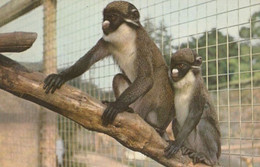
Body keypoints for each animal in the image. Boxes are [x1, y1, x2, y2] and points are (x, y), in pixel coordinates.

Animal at [43, 0, 175, 138]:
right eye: (105, 17)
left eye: (113, 17)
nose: (104, 24)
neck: (126, 37)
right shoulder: (105, 42)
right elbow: (86, 62)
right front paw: (60, 77)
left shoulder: (142, 42)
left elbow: (146, 78)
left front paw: (116, 106)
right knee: (118, 78)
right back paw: (128, 109)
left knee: (158, 79)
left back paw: (150, 124)